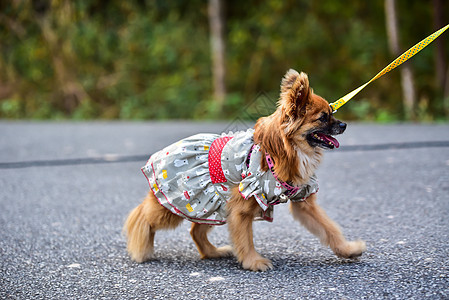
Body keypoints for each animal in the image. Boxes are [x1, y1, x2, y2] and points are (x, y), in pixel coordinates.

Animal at [122, 69, 364, 272]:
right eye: (323, 117)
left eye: (332, 112)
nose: (344, 125)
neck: (288, 151)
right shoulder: (242, 206)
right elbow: (245, 240)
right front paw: (254, 262)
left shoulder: (303, 203)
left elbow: (329, 229)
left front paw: (348, 249)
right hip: (174, 205)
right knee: (142, 215)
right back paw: (140, 246)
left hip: (212, 206)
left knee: (195, 231)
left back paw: (212, 252)